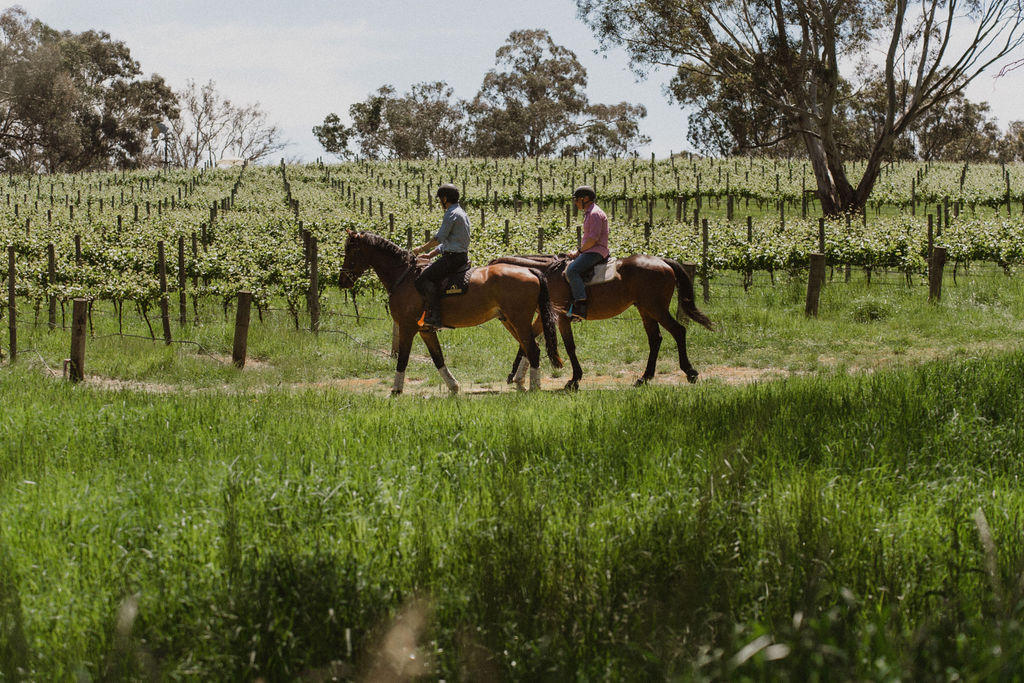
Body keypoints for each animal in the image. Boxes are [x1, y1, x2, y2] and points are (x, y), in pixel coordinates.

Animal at [337, 231, 561, 395]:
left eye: (351, 251)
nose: (342, 281)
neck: (405, 277)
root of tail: (531, 270)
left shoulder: (408, 328)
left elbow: (403, 359)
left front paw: (396, 390)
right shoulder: (426, 331)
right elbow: (438, 359)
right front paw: (453, 387)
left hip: (518, 320)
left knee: (533, 349)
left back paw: (533, 387)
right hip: (510, 321)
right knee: (530, 348)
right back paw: (524, 382)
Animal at [487, 253, 712, 389]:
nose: (501, 314)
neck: (545, 274)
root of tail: (664, 262)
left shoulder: (560, 317)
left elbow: (569, 347)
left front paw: (574, 379)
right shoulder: (544, 318)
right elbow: (527, 341)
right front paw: (515, 375)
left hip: (656, 308)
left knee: (678, 331)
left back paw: (690, 372)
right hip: (646, 310)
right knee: (655, 339)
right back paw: (644, 377)